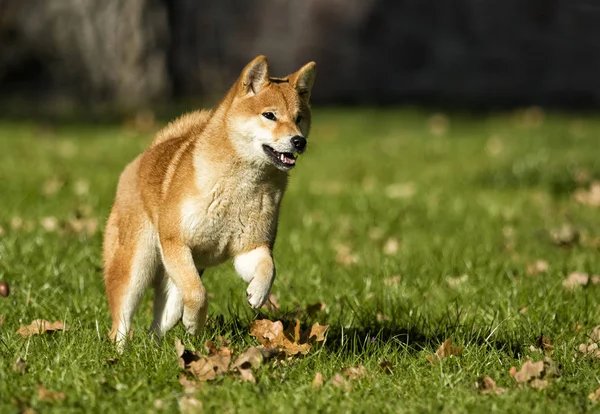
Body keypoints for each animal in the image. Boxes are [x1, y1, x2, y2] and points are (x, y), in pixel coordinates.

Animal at [102, 54, 318, 346]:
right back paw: (121, 351)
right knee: (121, 322)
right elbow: (198, 293)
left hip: (170, 288)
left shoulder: (250, 247)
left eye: (298, 118)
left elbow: (268, 267)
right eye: (269, 115)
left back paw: (154, 348)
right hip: (136, 267)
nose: (299, 141)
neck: (239, 187)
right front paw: (195, 323)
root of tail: (145, 155)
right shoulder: (176, 242)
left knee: (158, 324)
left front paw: (258, 293)